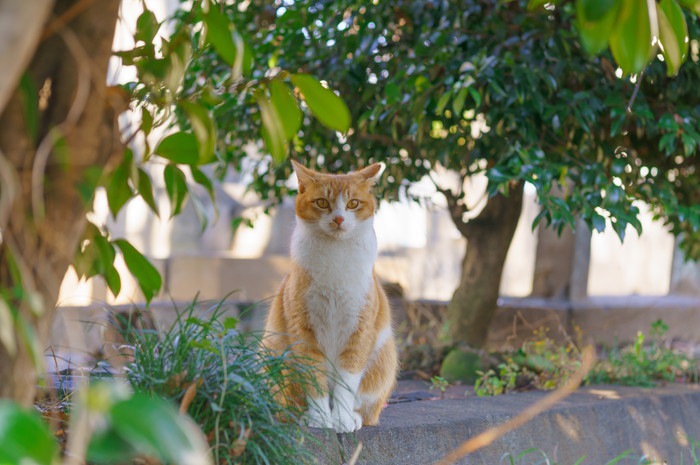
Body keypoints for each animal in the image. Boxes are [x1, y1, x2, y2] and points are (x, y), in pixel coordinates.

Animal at [262, 160, 396, 432]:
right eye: (322, 202)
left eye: (353, 203)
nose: (339, 218)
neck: (336, 254)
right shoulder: (304, 327)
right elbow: (314, 375)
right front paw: (320, 418)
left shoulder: (359, 328)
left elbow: (347, 380)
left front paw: (341, 419)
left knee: (367, 409)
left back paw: (353, 416)